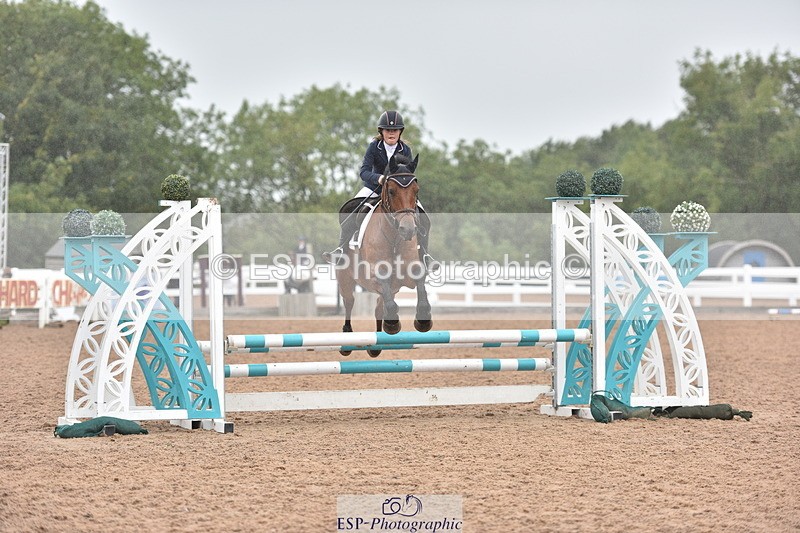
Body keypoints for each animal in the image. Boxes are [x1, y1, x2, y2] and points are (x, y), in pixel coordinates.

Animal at [334, 154, 433, 357]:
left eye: (416, 190)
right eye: (392, 191)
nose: (408, 229)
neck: (394, 238)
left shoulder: (409, 274)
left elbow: (419, 280)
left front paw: (423, 320)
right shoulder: (374, 274)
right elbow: (385, 290)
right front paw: (394, 324)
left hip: (391, 289)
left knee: (379, 308)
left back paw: (378, 341)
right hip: (345, 279)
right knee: (349, 302)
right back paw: (347, 342)